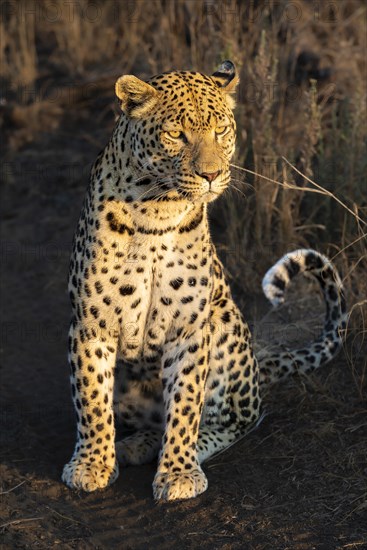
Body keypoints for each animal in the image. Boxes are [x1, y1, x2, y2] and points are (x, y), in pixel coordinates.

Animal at [61, 62, 346, 502]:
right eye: (176, 134)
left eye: (221, 130)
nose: (211, 174)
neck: (156, 209)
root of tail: (258, 368)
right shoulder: (92, 325)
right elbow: (91, 400)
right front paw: (91, 464)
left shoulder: (190, 328)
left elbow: (184, 405)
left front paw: (178, 471)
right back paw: (136, 444)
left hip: (226, 326)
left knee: (243, 418)